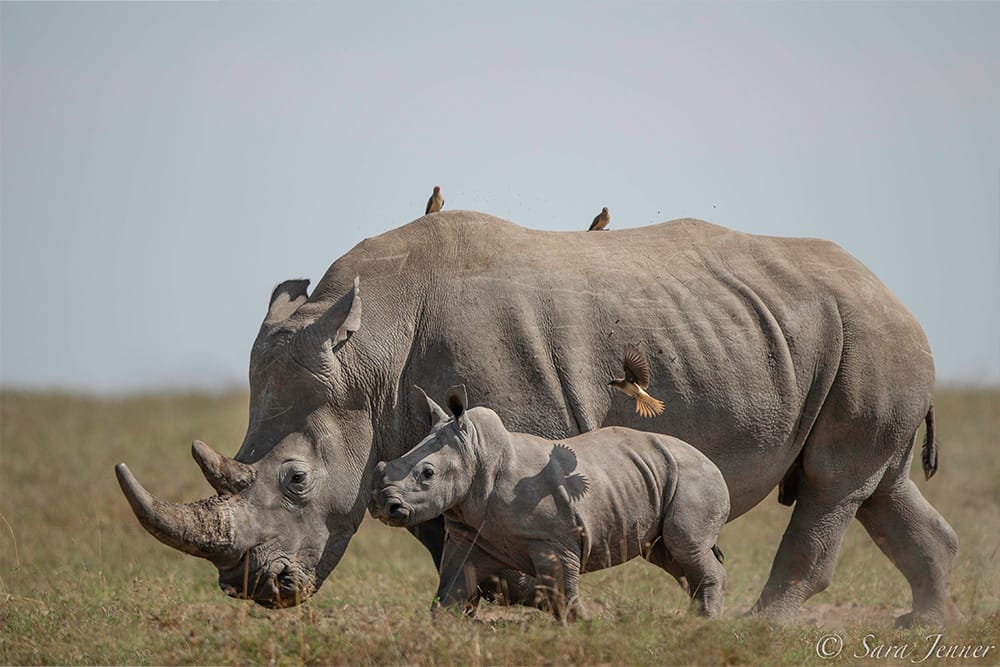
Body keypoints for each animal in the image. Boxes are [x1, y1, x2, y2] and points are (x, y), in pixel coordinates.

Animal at [371, 386, 730, 621]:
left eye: (427, 473)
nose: (383, 506)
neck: (479, 454)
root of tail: (710, 461)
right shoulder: (468, 535)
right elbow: (450, 592)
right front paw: (441, 629)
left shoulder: (553, 540)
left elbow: (561, 593)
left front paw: (585, 626)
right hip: (662, 474)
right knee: (668, 554)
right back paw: (696, 618)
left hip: (694, 478)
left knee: (684, 544)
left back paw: (704, 624)